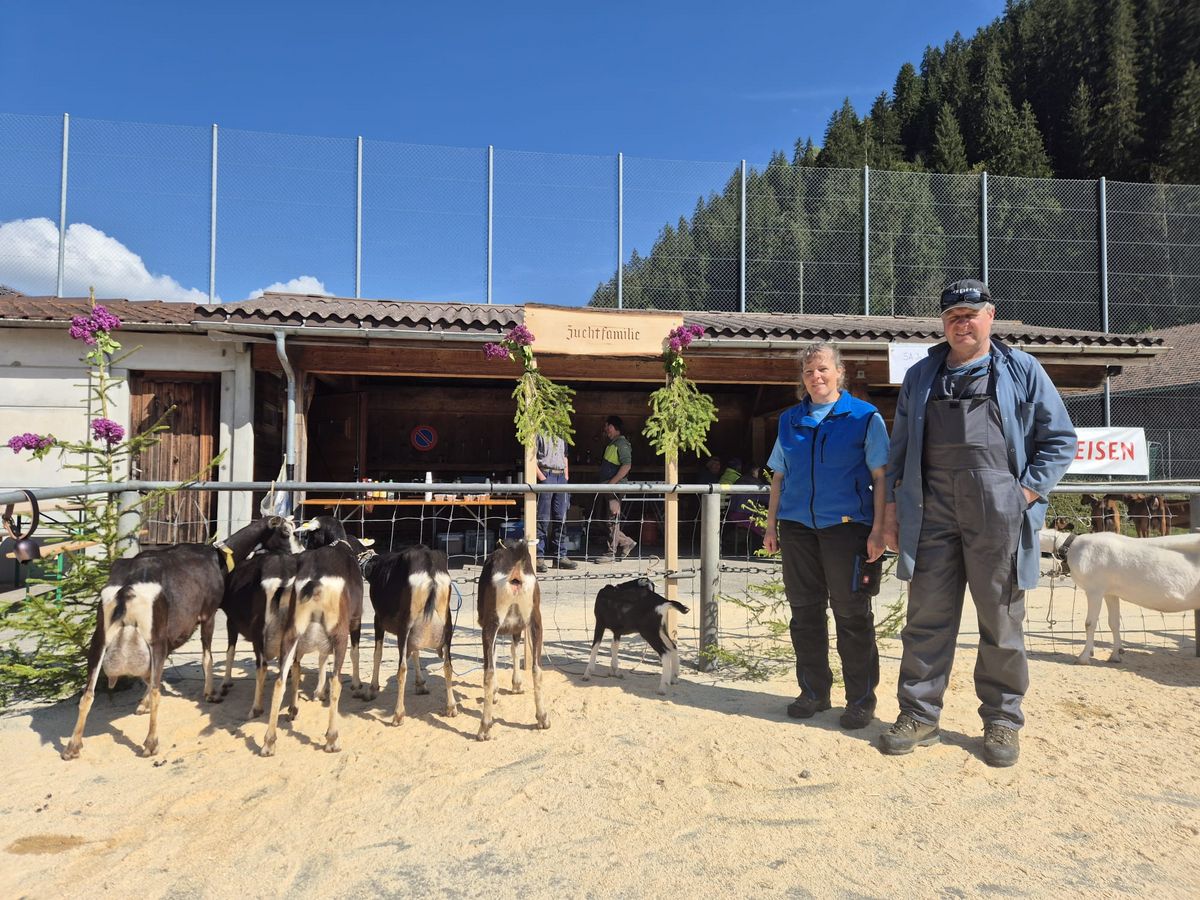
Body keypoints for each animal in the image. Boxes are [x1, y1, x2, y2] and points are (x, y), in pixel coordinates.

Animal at [62, 517, 290, 760]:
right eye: (286, 532)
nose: (294, 552)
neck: (217, 557)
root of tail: (126, 588)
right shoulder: (207, 614)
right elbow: (206, 657)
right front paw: (210, 694)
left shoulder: (174, 630)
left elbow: (152, 676)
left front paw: (141, 704)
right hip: (155, 638)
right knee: (155, 691)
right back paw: (151, 743)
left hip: (100, 638)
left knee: (88, 693)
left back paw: (73, 746)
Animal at [260, 516, 364, 756]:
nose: (303, 549)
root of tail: (314, 582)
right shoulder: (355, 621)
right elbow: (352, 653)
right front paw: (355, 685)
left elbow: (320, 658)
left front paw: (317, 692)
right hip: (339, 634)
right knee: (336, 681)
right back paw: (332, 739)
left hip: (291, 636)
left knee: (280, 681)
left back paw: (270, 741)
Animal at [358, 544, 458, 724]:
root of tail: (429, 567)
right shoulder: (416, 633)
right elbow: (416, 652)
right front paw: (420, 684)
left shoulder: (378, 619)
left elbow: (378, 653)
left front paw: (372, 689)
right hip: (446, 625)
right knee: (448, 665)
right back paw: (451, 707)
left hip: (404, 626)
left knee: (402, 668)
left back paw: (398, 714)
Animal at [476, 539, 548, 740]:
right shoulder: (519, 626)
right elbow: (515, 650)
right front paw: (516, 685)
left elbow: (496, 656)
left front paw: (500, 691)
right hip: (535, 619)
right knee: (537, 669)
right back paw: (543, 719)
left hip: (491, 623)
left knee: (488, 672)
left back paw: (484, 728)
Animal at [1039, 529, 1200, 664]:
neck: (1070, 547)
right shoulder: (1110, 593)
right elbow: (1114, 623)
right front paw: (1116, 655)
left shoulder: (1094, 590)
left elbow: (1090, 624)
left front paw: (1083, 658)